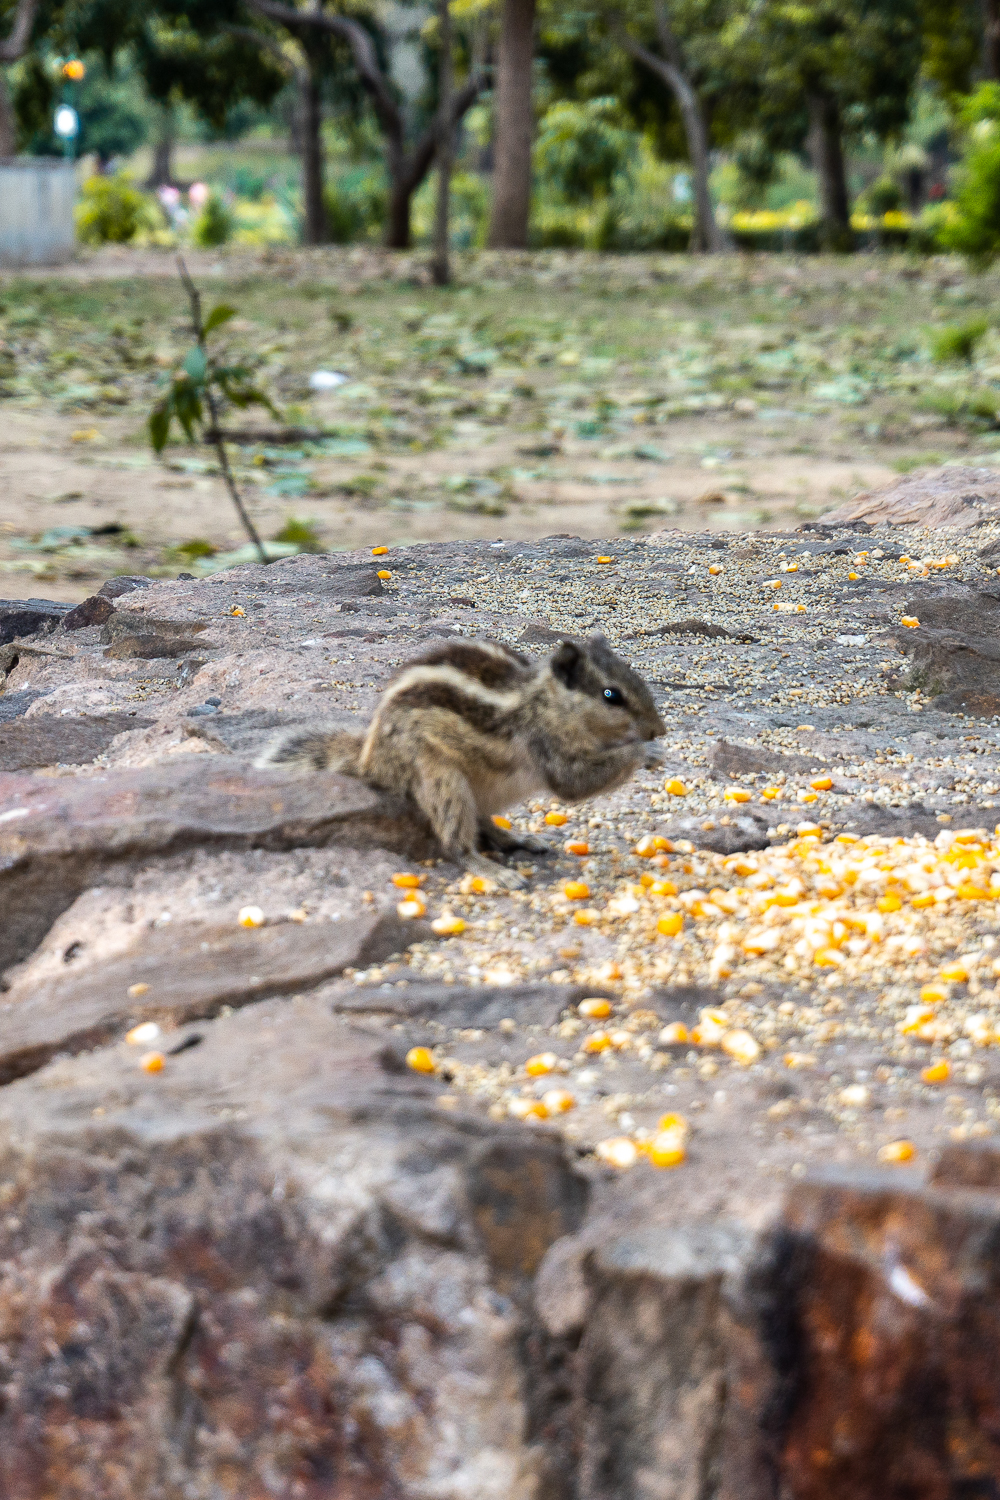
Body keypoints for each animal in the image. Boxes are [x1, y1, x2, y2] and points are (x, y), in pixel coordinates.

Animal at [259, 634, 665, 888]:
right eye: (611, 695)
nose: (658, 729)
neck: (542, 702)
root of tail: (369, 762)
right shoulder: (546, 748)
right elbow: (574, 783)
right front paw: (643, 753)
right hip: (442, 780)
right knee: (457, 845)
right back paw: (494, 871)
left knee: (484, 822)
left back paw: (517, 839)